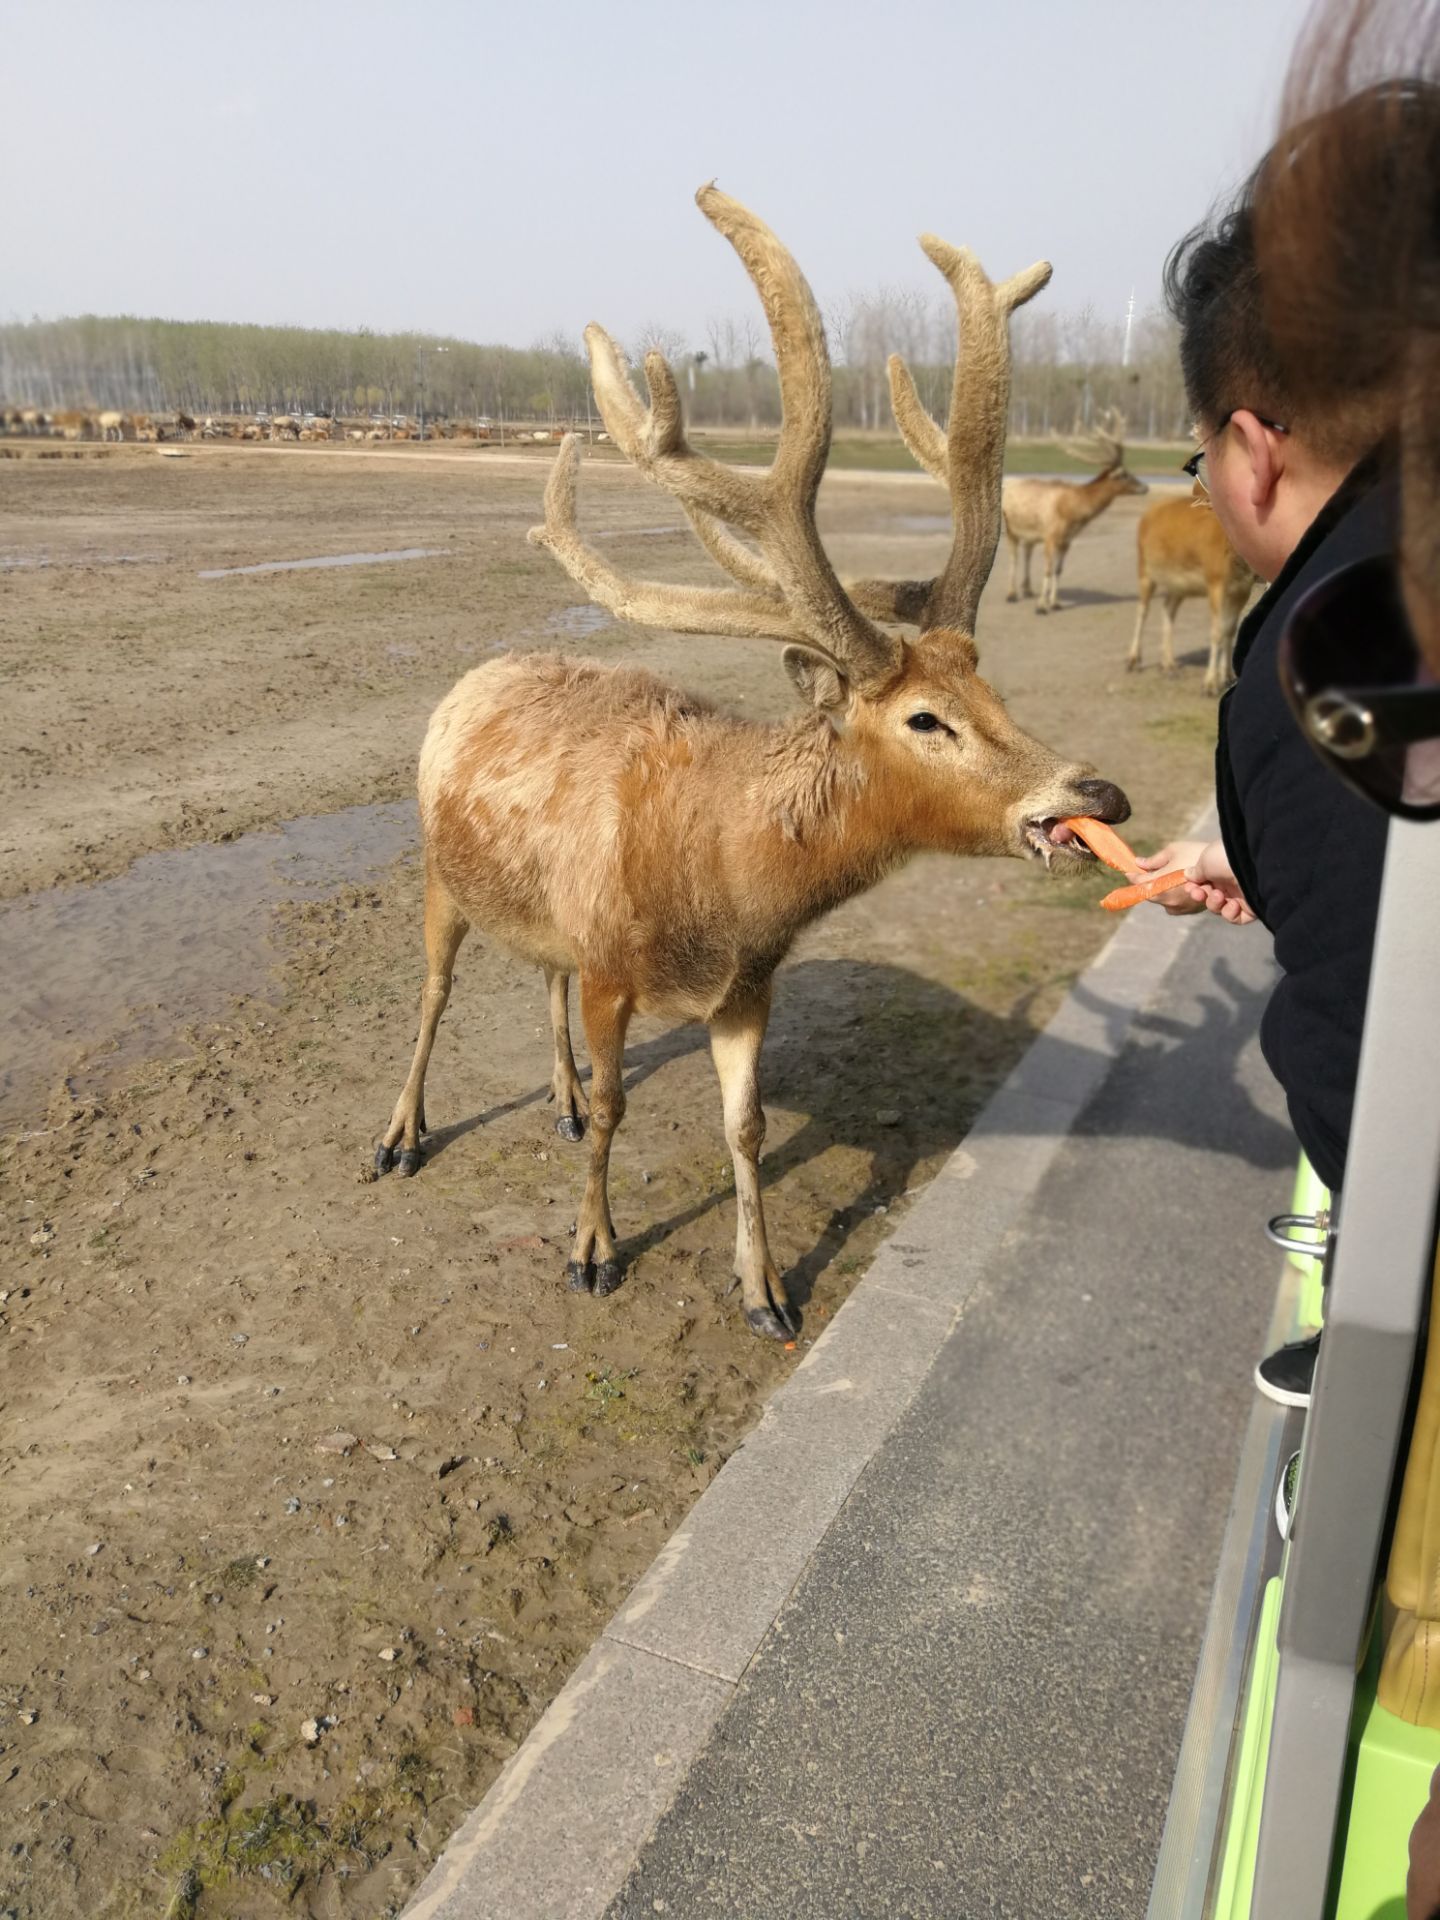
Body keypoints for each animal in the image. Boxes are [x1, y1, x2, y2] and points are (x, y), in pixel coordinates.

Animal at [372, 186, 1130, 1340]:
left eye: (992, 687)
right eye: (926, 720)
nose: (1097, 794)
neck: (726, 895)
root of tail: (475, 675)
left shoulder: (746, 989)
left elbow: (749, 1130)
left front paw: (766, 1288)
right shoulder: (610, 966)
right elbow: (618, 1108)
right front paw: (592, 1251)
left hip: (535, 909)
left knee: (537, 977)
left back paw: (550, 1099)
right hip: (436, 875)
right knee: (432, 993)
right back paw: (402, 1134)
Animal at [996, 414, 1148, 613]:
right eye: (1124, 474)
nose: (1145, 487)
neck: (1071, 510)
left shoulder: (1066, 540)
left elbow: (1058, 570)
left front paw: (1055, 603)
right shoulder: (1050, 536)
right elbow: (1047, 569)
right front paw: (1041, 606)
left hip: (1031, 533)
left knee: (1027, 552)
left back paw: (1027, 590)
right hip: (1011, 528)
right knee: (1014, 557)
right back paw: (1012, 594)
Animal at [1126, 492, 1255, 694]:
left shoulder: (1241, 590)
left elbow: (1229, 629)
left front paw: (1228, 676)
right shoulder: (1216, 583)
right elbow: (1217, 631)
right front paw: (1210, 683)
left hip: (1177, 584)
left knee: (1168, 609)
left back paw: (1169, 665)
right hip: (1145, 570)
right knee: (1142, 611)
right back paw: (1133, 660)